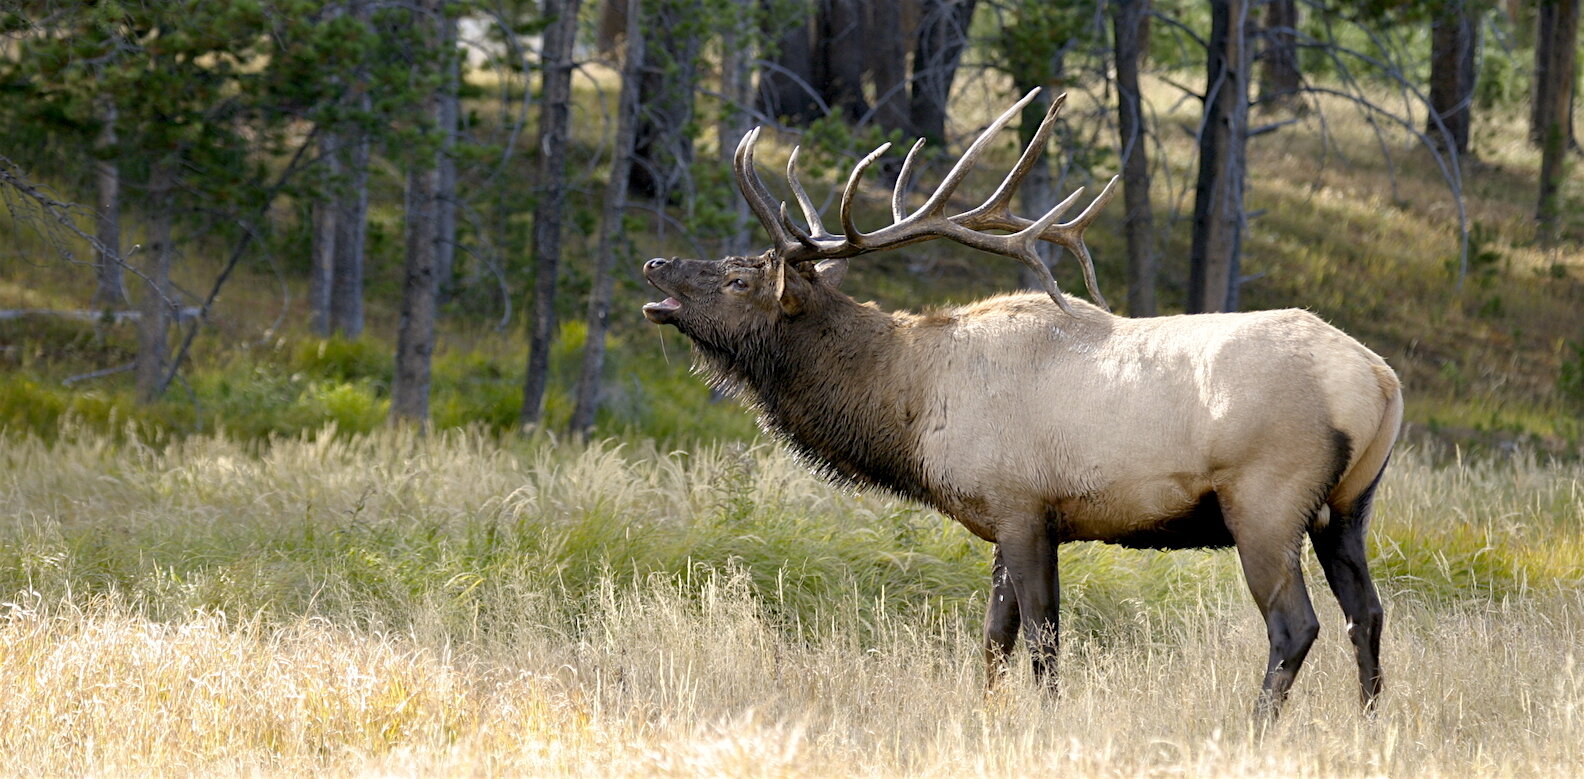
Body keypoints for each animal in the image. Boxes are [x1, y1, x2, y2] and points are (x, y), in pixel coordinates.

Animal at [636, 88, 1406, 715]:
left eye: (740, 279)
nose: (655, 261)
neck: (907, 405)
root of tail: (1381, 380)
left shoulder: (1021, 505)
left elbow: (1040, 639)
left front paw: (1046, 720)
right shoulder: (1013, 518)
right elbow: (993, 639)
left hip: (1266, 499)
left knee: (1295, 624)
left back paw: (1255, 725)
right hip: (1348, 506)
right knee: (1366, 613)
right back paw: (1369, 722)